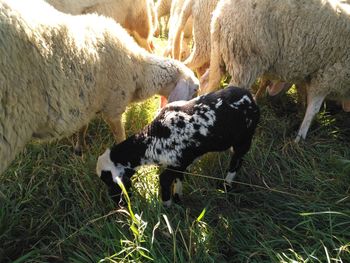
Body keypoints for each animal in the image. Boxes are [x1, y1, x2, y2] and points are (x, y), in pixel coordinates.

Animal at [0, 0, 198, 177]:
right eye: (195, 89)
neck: (139, 70)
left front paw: (79, 148)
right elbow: (120, 135)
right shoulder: (113, 106)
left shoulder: (86, 101)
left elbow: (82, 128)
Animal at [95, 86, 260, 206]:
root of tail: (251, 97)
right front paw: (178, 198)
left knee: (236, 162)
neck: (152, 138)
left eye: (109, 181)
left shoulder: (175, 165)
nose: (117, 203)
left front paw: (167, 208)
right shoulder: (179, 164)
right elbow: (179, 180)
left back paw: (226, 185)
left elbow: (164, 181)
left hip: (245, 138)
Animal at [201, 0, 350, 142]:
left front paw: (300, 110)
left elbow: (303, 93)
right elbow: (313, 109)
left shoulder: (308, 74)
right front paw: (300, 137)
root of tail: (221, 13)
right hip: (245, 60)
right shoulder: (327, 76)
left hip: (219, 53)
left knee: (207, 81)